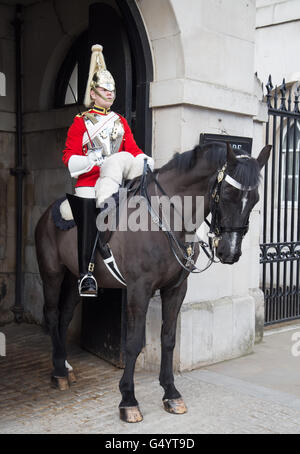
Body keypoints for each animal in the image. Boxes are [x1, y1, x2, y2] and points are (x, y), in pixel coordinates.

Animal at [34, 141, 270, 422]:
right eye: (227, 194)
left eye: (255, 199)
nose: (230, 252)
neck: (168, 219)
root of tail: (48, 211)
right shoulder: (140, 289)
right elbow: (134, 342)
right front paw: (128, 399)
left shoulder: (176, 288)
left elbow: (168, 338)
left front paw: (171, 393)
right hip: (52, 273)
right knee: (51, 313)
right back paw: (59, 372)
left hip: (74, 278)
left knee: (65, 316)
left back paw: (65, 365)